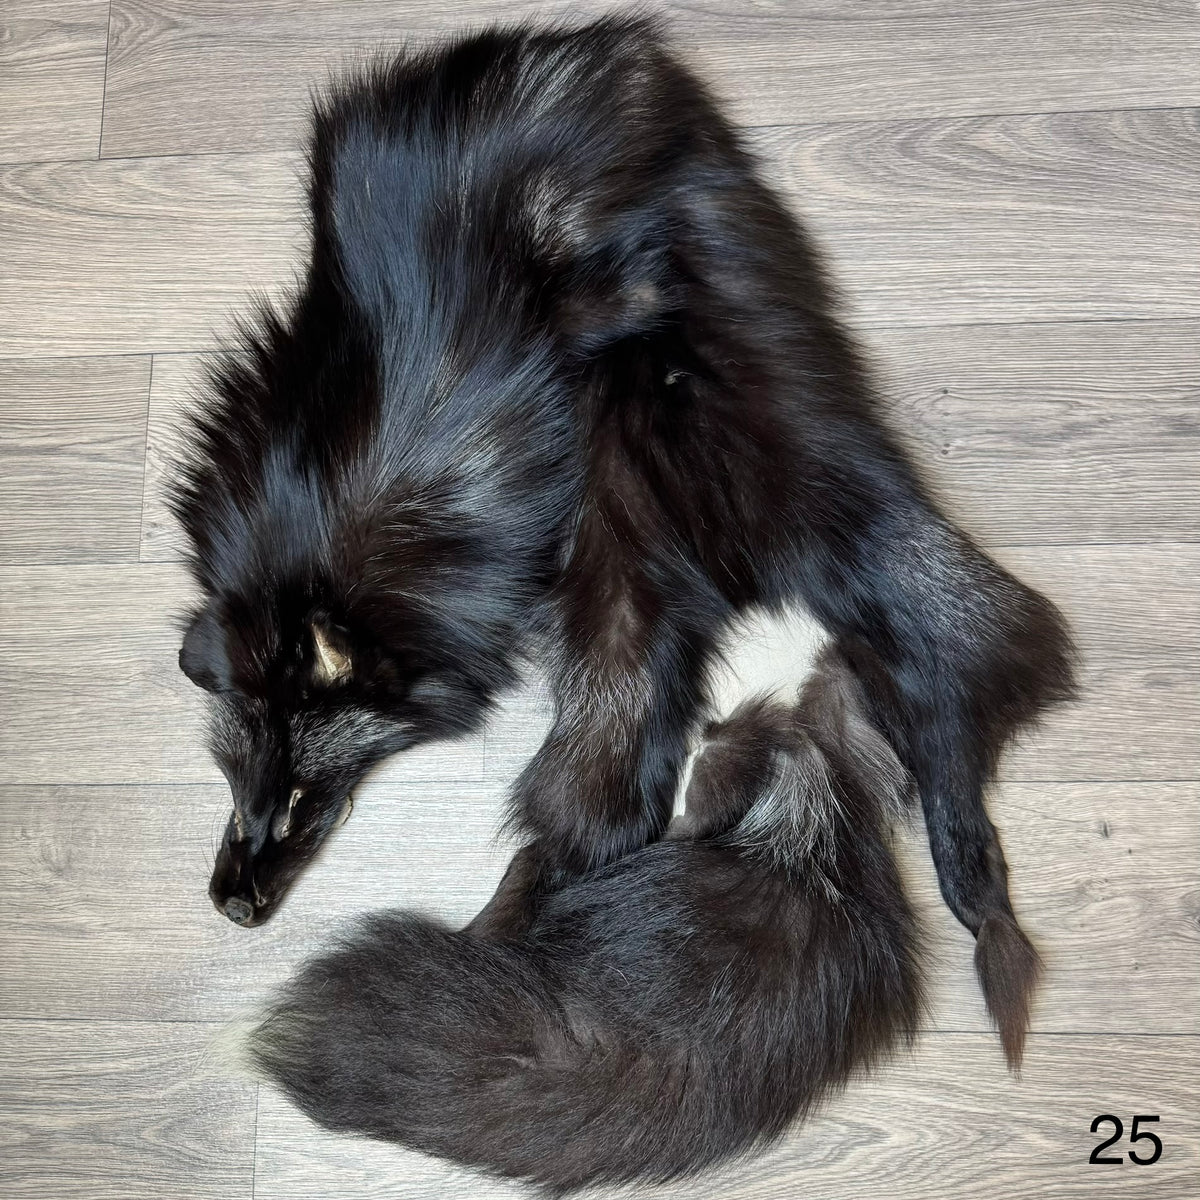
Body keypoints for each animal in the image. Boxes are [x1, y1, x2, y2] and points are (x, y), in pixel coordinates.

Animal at [171, 16, 1075, 1063]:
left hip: (681, 381)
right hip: (661, 500)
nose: (233, 904)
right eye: (240, 782)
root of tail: (593, 45)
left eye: (304, 797)